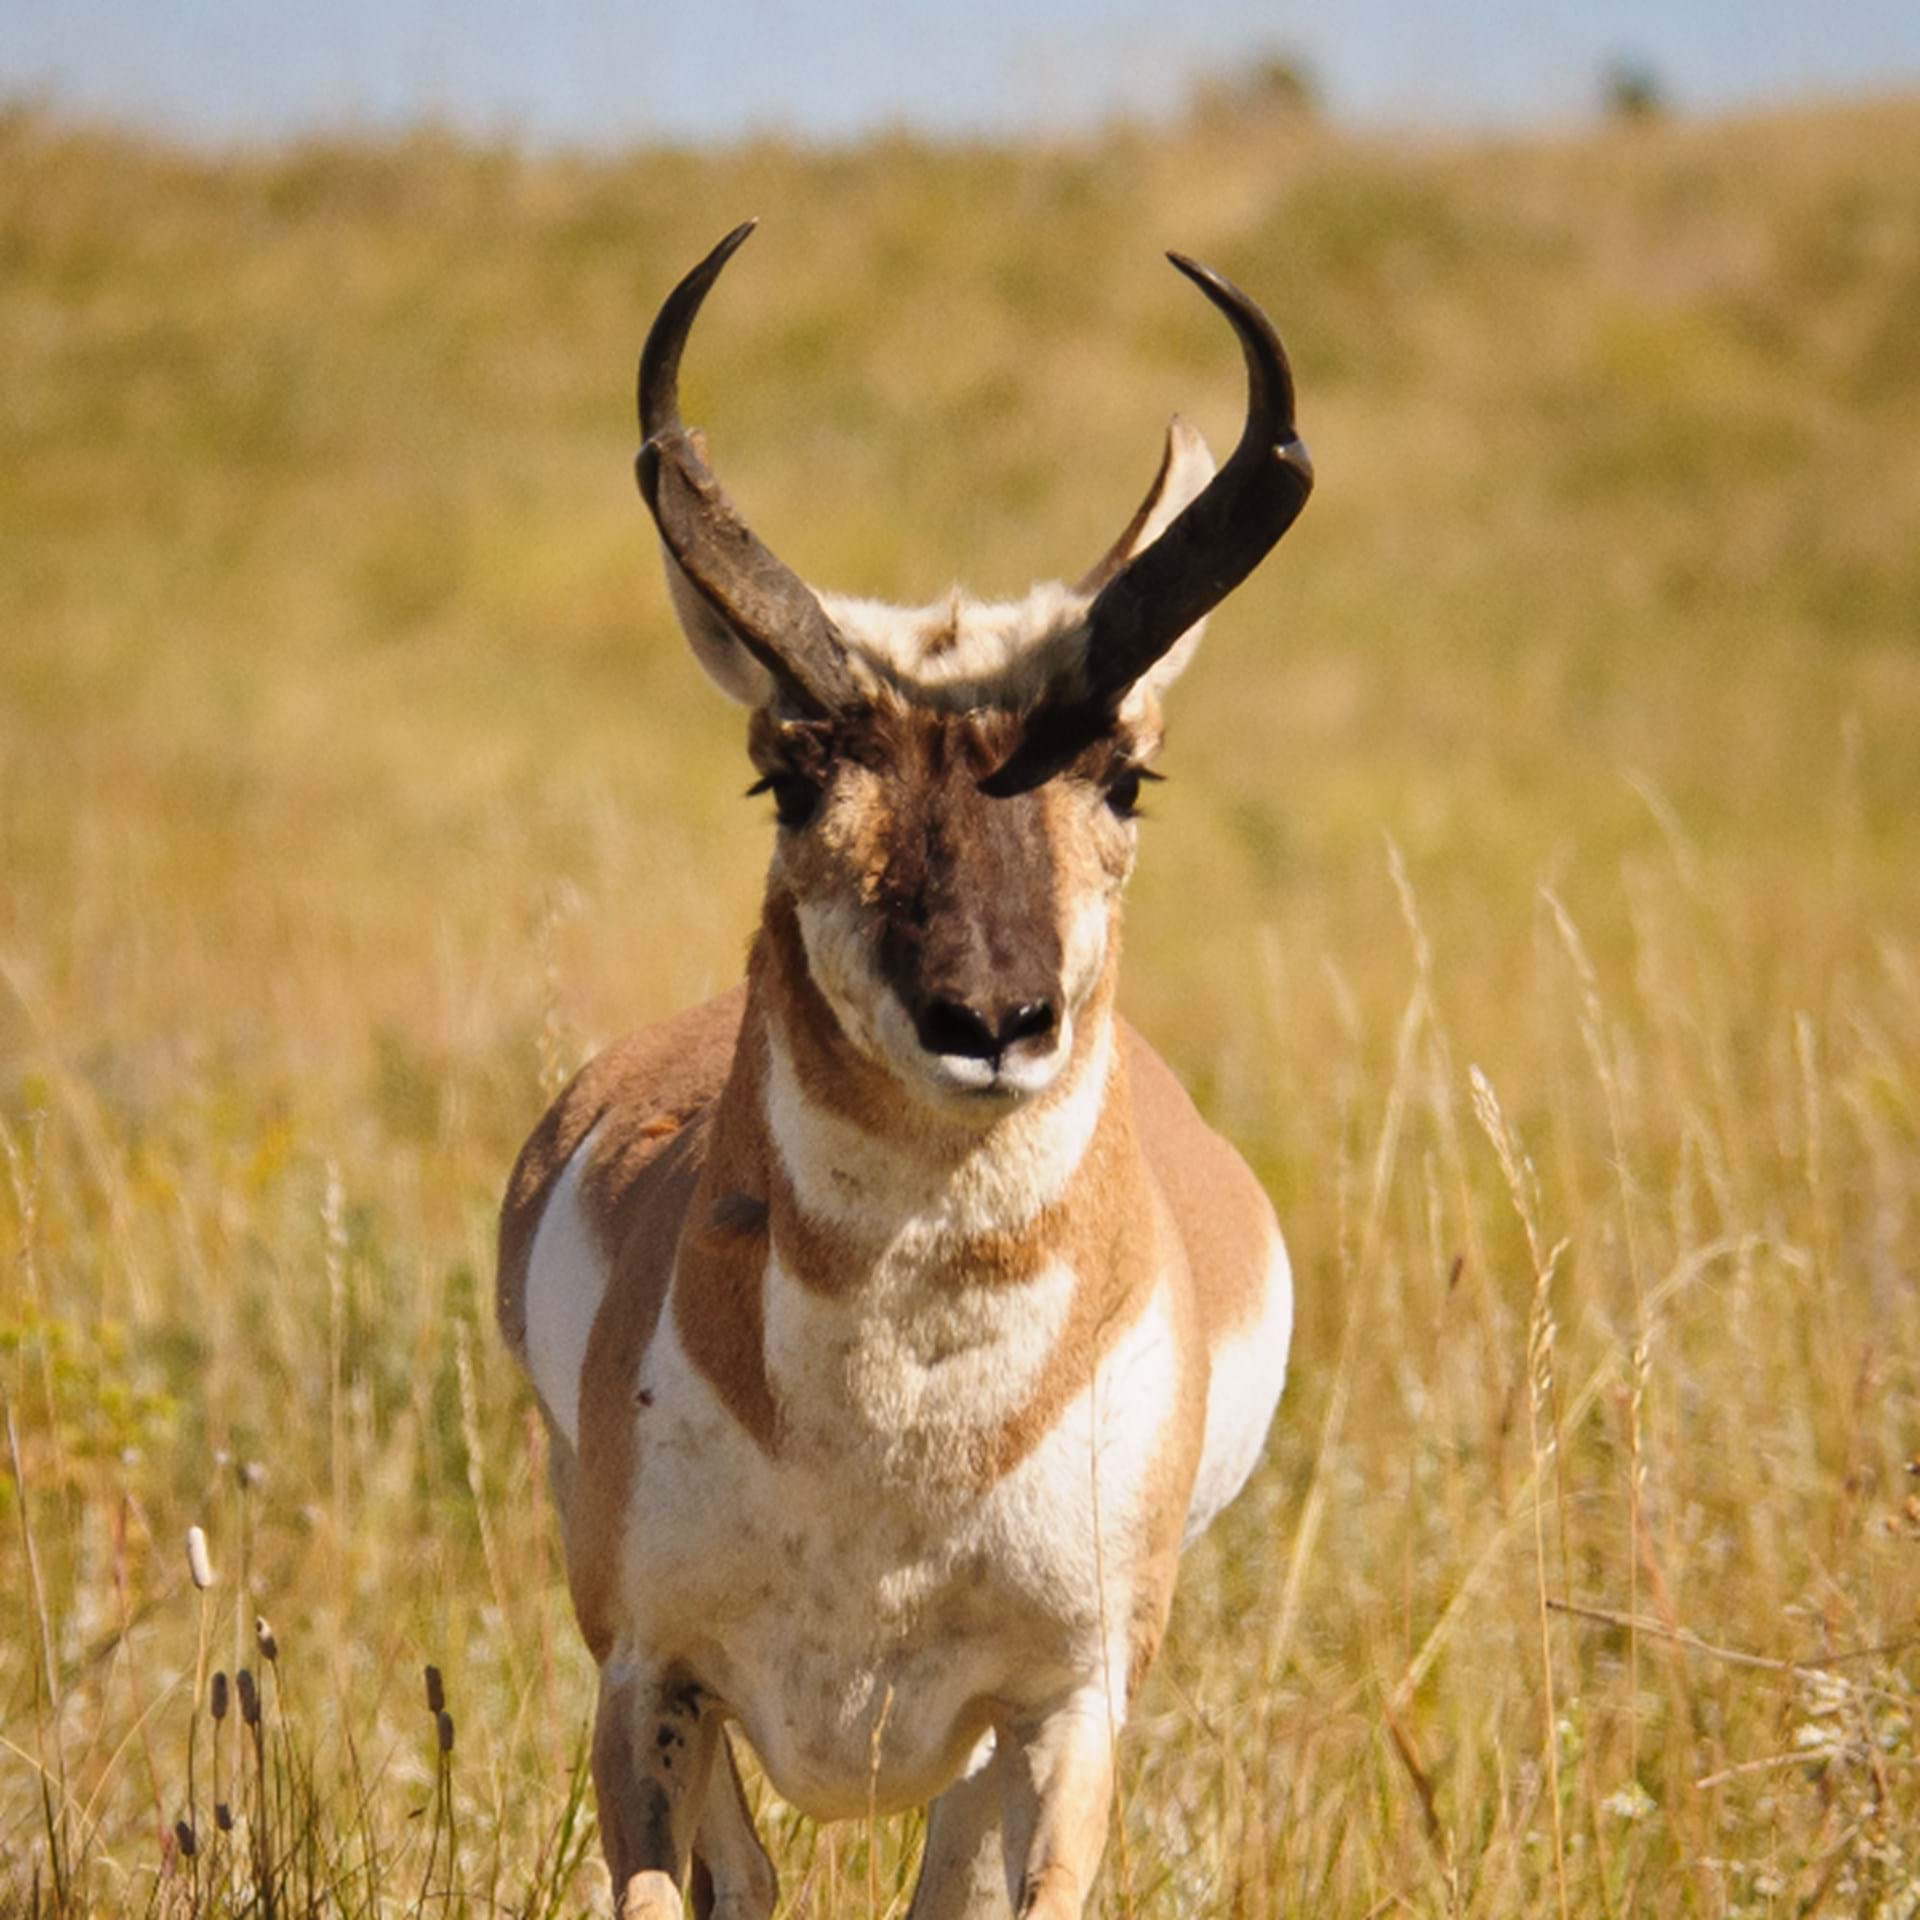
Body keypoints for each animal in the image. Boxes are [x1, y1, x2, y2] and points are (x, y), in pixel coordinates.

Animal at [496, 222, 1312, 1920]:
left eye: (1124, 772)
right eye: (789, 773)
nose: (990, 1020)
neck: (898, 1447)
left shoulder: (1068, 1711)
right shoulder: (647, 1681)